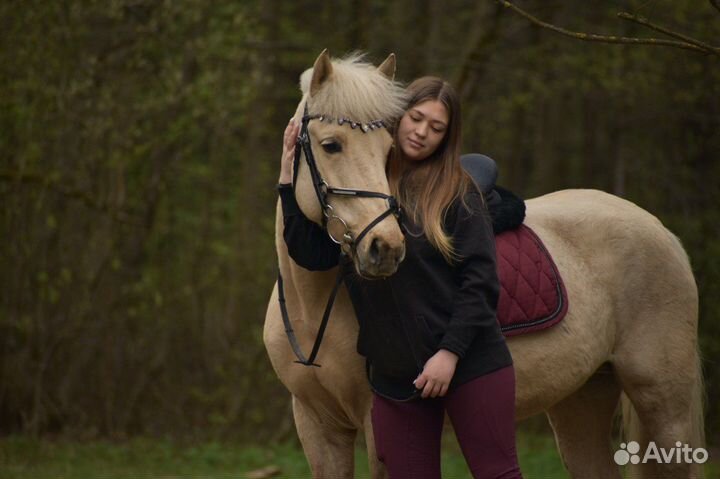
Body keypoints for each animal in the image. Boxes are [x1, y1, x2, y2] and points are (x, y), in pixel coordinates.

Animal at [262, 49, 704, 479]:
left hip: (665, 404)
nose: (384, 247)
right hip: (582, 398)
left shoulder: (377, 421)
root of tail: (661, 231)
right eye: (331, 145)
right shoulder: (317, 425)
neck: (312, 305)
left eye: (389, 152)